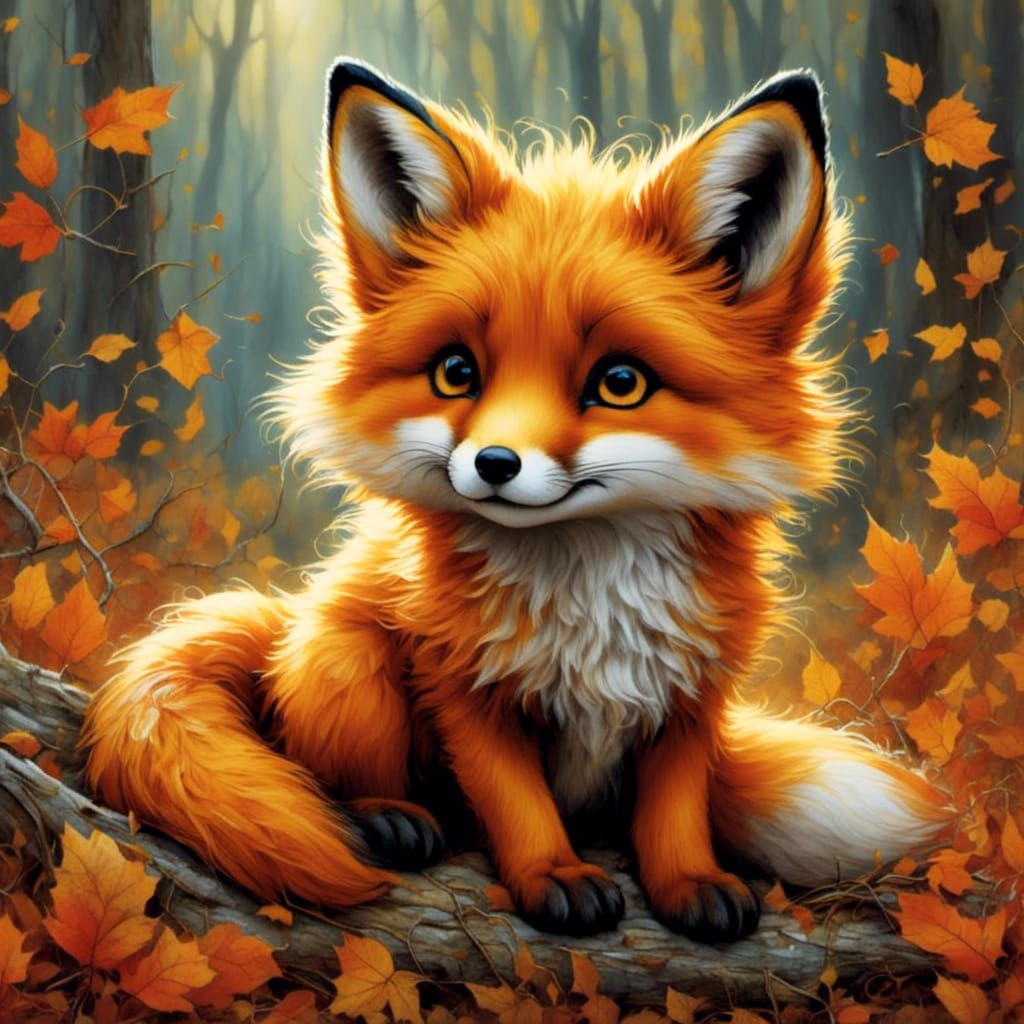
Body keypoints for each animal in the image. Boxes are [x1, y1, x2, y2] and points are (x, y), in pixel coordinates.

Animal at [80, 59, 950, 942]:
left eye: (620, 382)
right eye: (456, 372)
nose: (493, 463)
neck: (589, 595)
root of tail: (282, 631)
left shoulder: (688, 695)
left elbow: (675, 812)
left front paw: (688, 883)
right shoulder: (464, 685)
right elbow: (516, 802)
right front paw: (552, 876)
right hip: (346, 660)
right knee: (327, 765)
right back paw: (386, 814)